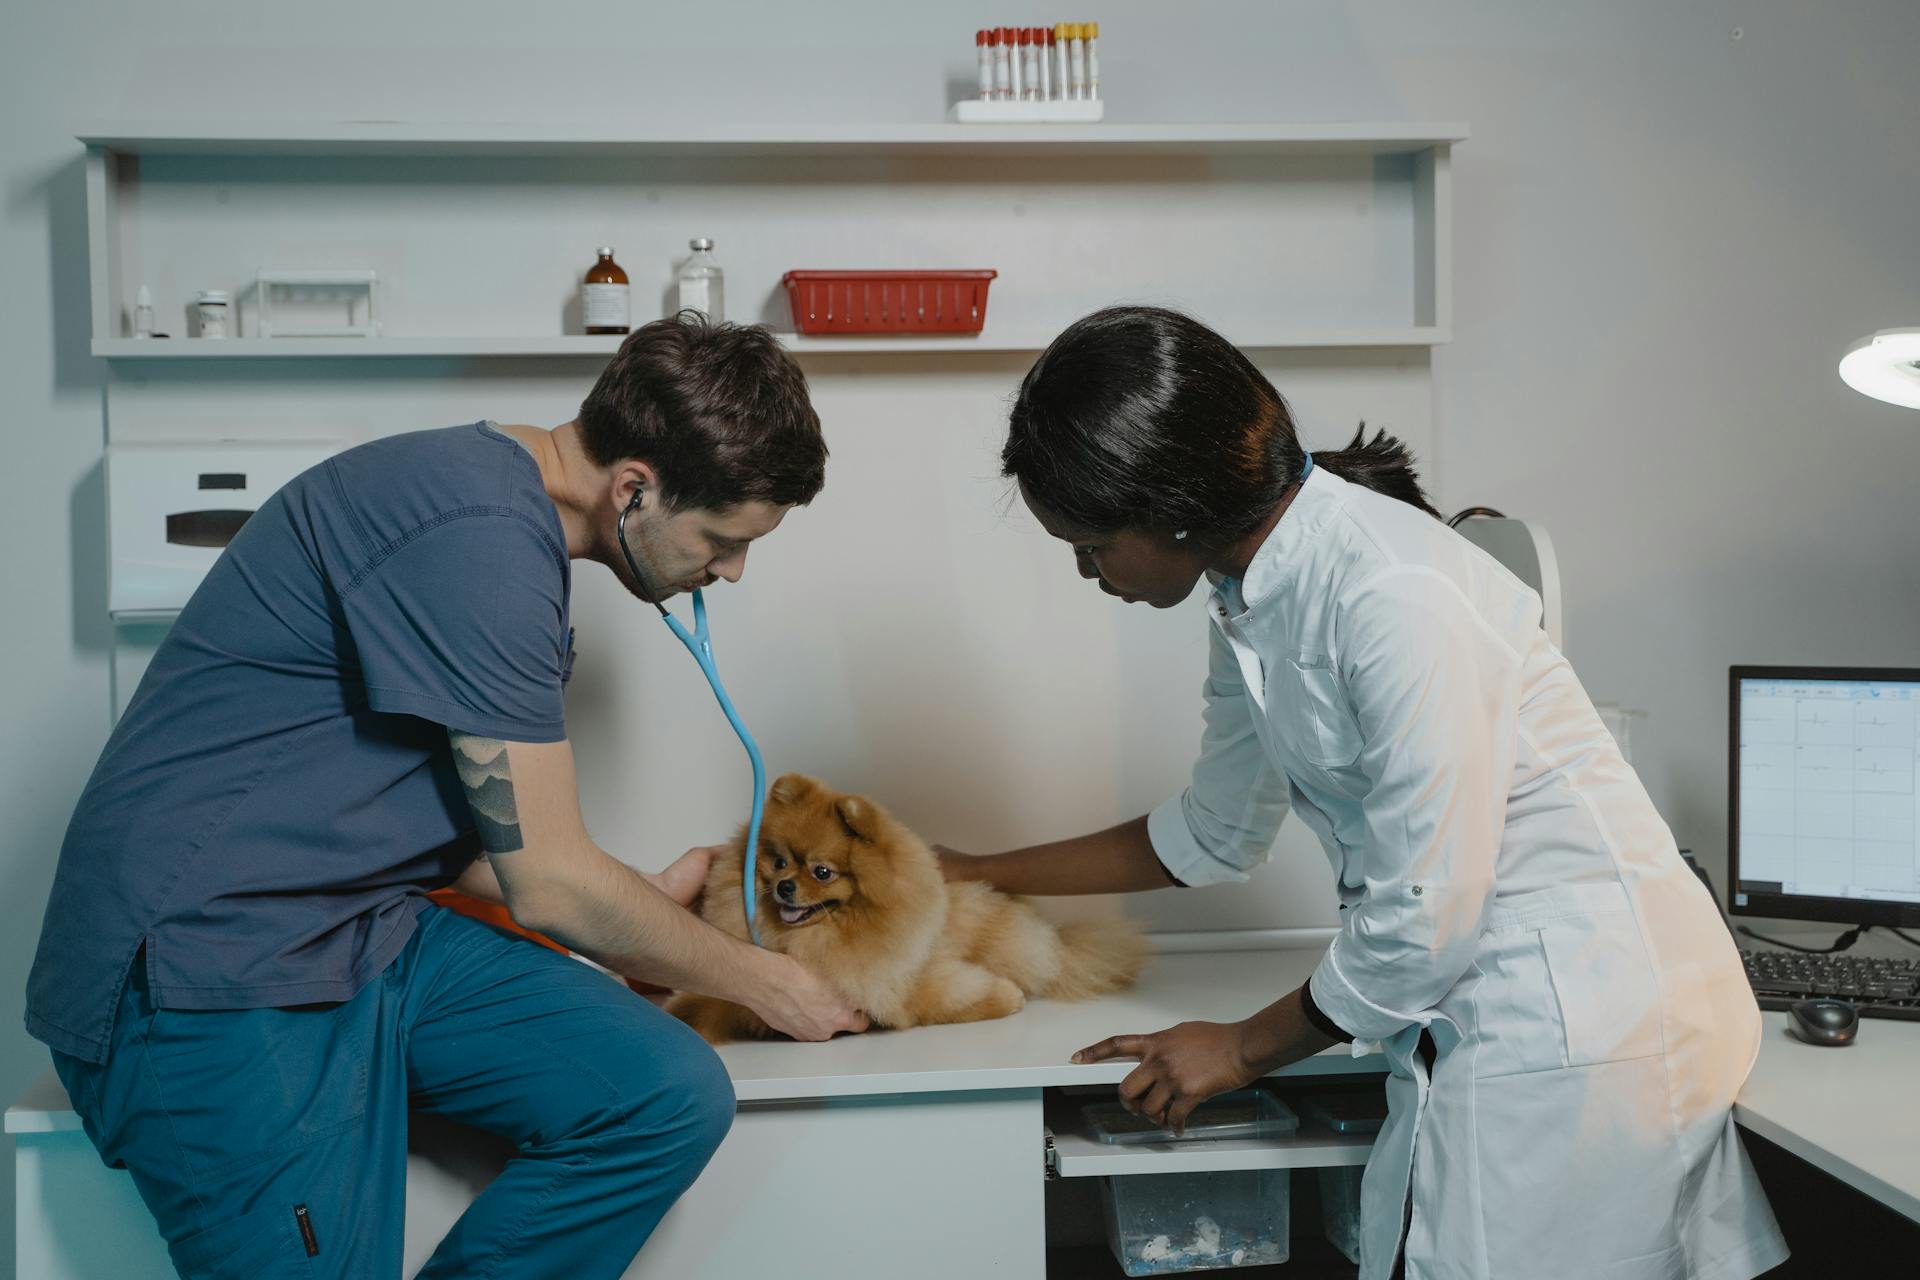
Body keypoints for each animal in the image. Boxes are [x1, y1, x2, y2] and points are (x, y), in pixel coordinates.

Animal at [668, 775, 1144, 1043]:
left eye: (822, 872)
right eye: (779, 861)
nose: (784, 887)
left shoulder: (903, 981)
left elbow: (941, 1001)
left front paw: (1007, 997)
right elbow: (709, 1001)